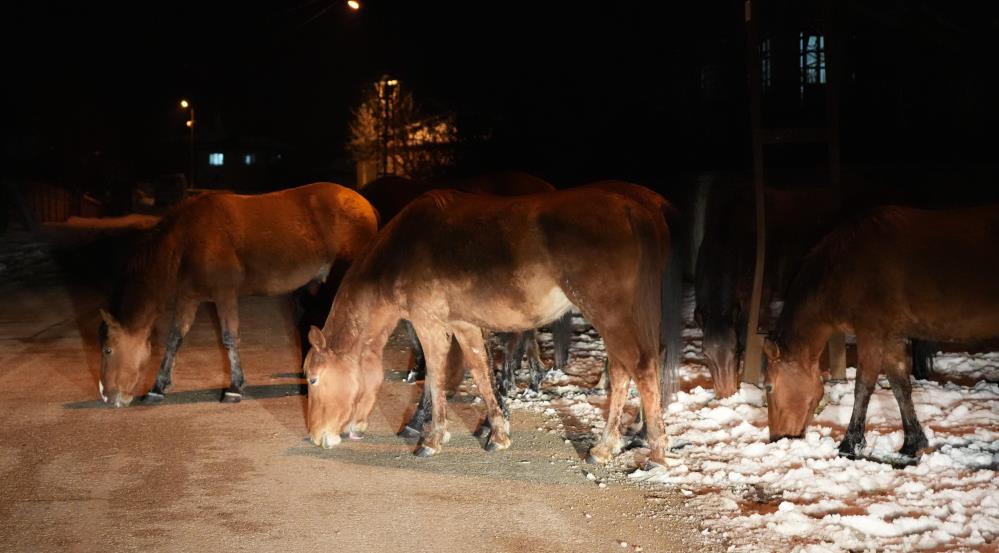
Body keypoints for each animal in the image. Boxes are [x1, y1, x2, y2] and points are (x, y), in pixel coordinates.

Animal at [99, 182, 378, 406]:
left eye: (108, 350)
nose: (106, 396)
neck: (187, 239)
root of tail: (366, 206)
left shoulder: (225, 294)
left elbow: (229, 337)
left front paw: (234, 388)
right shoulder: (189, 297)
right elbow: (175, 338)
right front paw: (157, 387)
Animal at [304, 183, 680, 464]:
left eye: (312, 378)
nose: (315, 436)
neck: (402, 251)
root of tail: (634, 209)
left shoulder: (429, 325)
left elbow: (436, 376)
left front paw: (432, 437)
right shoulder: (463, 325)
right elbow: (482, 372)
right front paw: (497, 432)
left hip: (612, 316)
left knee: (641, 368)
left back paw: (644, 450)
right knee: (624, 370)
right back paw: (616, 442)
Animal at [764, 205, 999, 460]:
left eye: (768, 386)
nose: (776, 438)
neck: (845, 270)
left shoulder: (871, 332)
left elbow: (863, 387)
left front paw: (850, 445)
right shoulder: (891, 336)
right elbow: (900, 386)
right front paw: (911, 444)